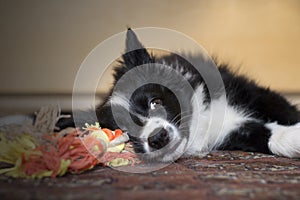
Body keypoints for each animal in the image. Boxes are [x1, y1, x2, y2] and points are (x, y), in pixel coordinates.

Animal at [62, 28, 298, 162]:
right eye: (124, 130)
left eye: (155, 102)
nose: (158, 138)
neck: (198, 121)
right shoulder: (229, 133)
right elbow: (260, 134)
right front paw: (292, 139)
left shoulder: (252, 92)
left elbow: (284, 109)